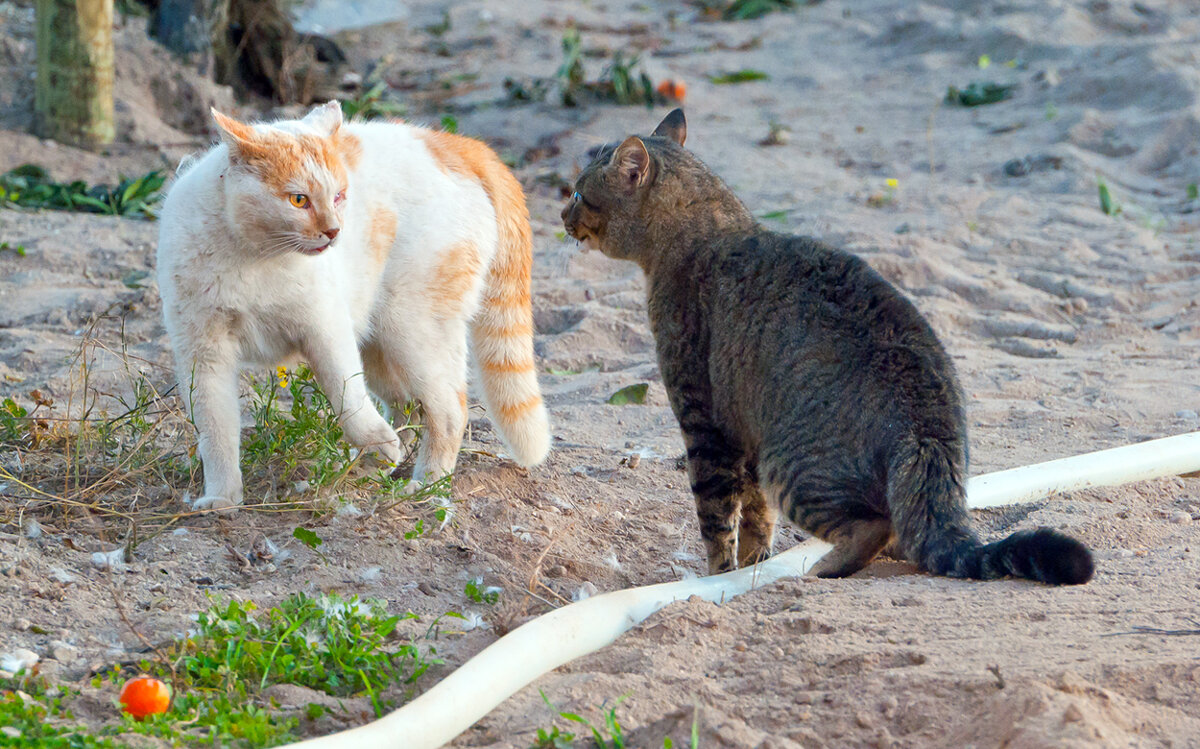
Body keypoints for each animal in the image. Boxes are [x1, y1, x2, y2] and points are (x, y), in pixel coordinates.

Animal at [157, 102, 549, 508]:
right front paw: (222, 499)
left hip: (413, 329)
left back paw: (424, 486)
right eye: (298, 200)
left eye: (339, 196)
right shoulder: (204, 355)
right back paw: (370, 467)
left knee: (448, 410)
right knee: (407, 405)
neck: (254, 256)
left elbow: (347, 398)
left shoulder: (326, 329)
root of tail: (452, 143)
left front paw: (379, 444)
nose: (334, 232)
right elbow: (215, 430)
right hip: (382, 344)